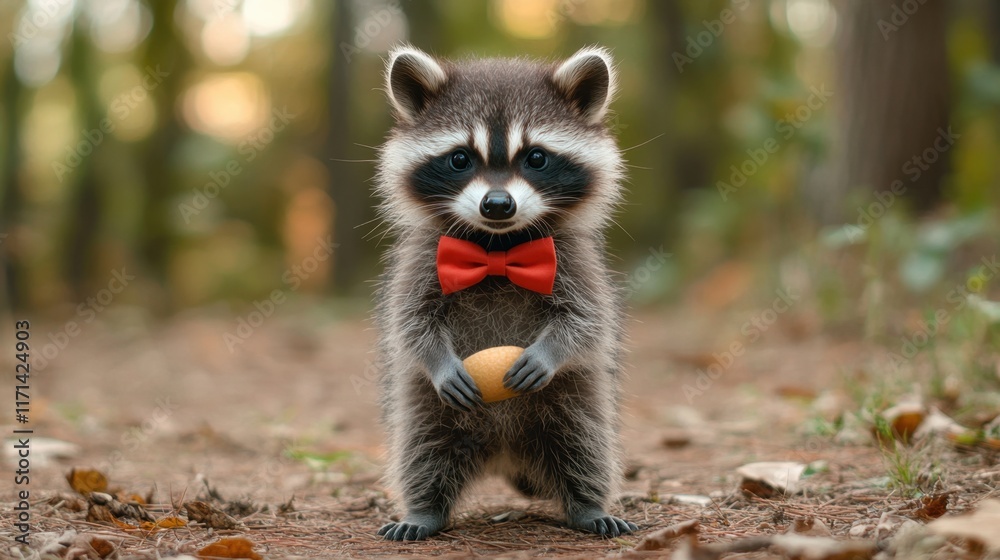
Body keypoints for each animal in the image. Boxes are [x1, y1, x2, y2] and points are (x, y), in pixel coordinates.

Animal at [373, 45, 634, 541]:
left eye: (536, 158)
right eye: (460, 159)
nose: (497, 205)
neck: (497, 248)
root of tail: (503, 451)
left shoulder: (575, 263)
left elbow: (586, 321)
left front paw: (550, 351)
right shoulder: (421, 262)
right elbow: (410, 324)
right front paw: (439, 361)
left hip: (571, 398)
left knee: (584, 444)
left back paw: (588, 506)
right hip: (429, 408)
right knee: (423, 450)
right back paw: (424, 511)